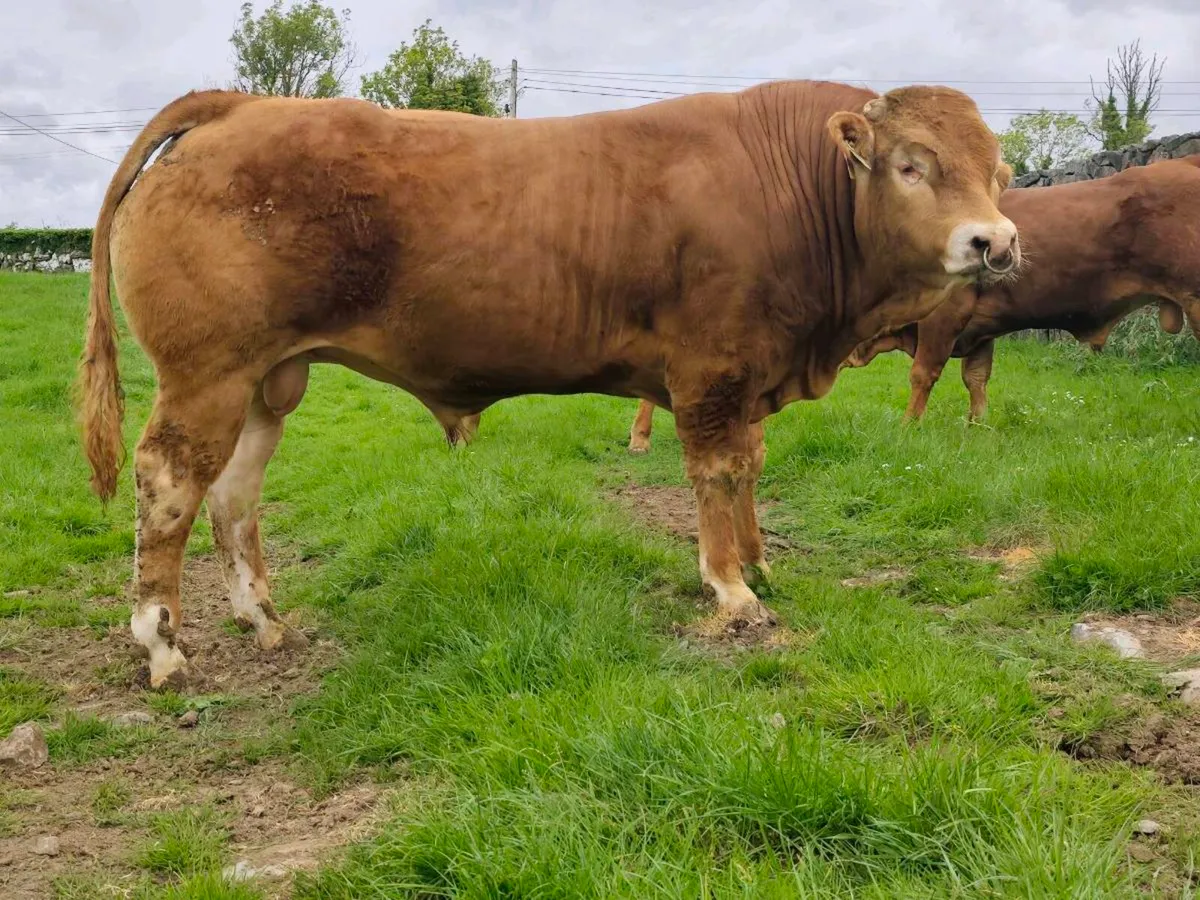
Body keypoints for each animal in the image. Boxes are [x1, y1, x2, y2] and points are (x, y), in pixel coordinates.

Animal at [79, 81, 1019, 689]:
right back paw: (161, 645)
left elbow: (749, 468)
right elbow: (716, 475)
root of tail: (241, 104)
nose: (996, 242)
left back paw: (264, 620)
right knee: (169, 483)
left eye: (1000, 173)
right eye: (911, 165)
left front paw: (758, 560)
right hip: (207, 373)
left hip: (268, 380)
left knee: (233, 494)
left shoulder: (751, 373)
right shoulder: (711, 371)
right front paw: (731, 589)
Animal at [840, 154, 1200, 420]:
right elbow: (976, 378)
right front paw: (977, 427)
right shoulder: (980, 329)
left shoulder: (943, 317)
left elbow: (922, 374)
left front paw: (908, 427)